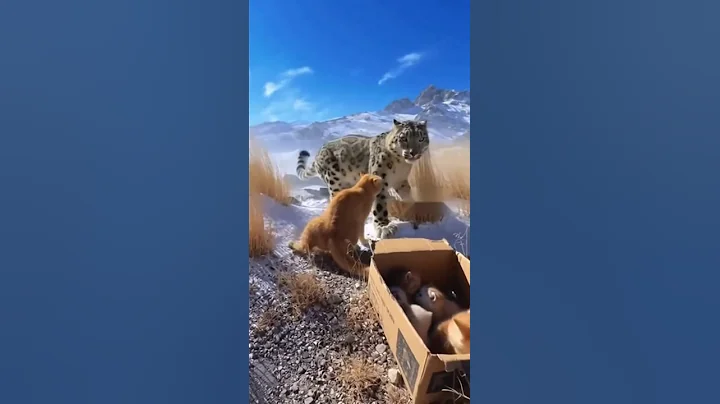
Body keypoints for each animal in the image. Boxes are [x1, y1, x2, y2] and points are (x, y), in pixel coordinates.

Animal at [296, 118, 430, 239]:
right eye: (404, 138)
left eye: (421, 139)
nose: (413, 153)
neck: (401, 164)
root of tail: (319, 152)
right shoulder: (380, 180)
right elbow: (379, 206)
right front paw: (384, 227)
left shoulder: (401, 183)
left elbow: (408, 199)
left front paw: (414, 215)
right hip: (335, 182)